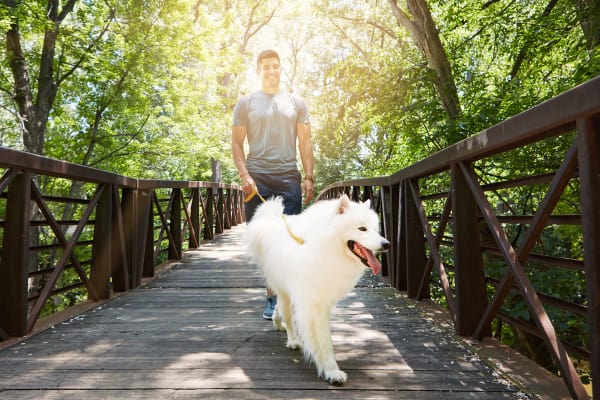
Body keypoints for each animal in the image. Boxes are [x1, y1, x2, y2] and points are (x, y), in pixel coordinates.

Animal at [246, 195, 392, 384]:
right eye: (362, 228)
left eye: (375, 229)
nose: (386, 244)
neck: (325, 247)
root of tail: (270, 219)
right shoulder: (313, 307)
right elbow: (323, 341)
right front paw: (331, 371)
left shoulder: (324, 302)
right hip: (284, 291)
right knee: (288, 316)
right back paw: (293, 340)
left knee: (280, 309)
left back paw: (277, 322)